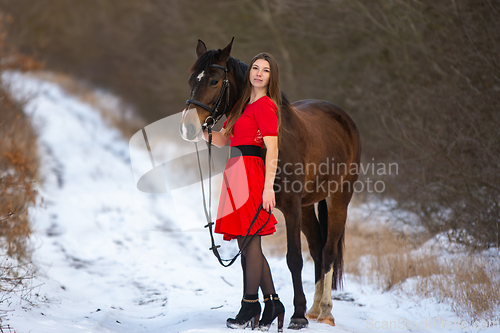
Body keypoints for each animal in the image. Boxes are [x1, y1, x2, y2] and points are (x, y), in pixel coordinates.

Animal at [180, 39, 360, 326]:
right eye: (191, 79)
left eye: (215, 81)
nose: (188, 128)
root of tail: (344, 119)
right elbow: (252, 257)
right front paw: (261, 313)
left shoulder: (291, 208)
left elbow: (293, 258)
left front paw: (297, 316)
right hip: (308, 206)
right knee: (317, 249)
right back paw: (314, 308)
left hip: (338, 199)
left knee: (329, 251)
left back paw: (325, 311)